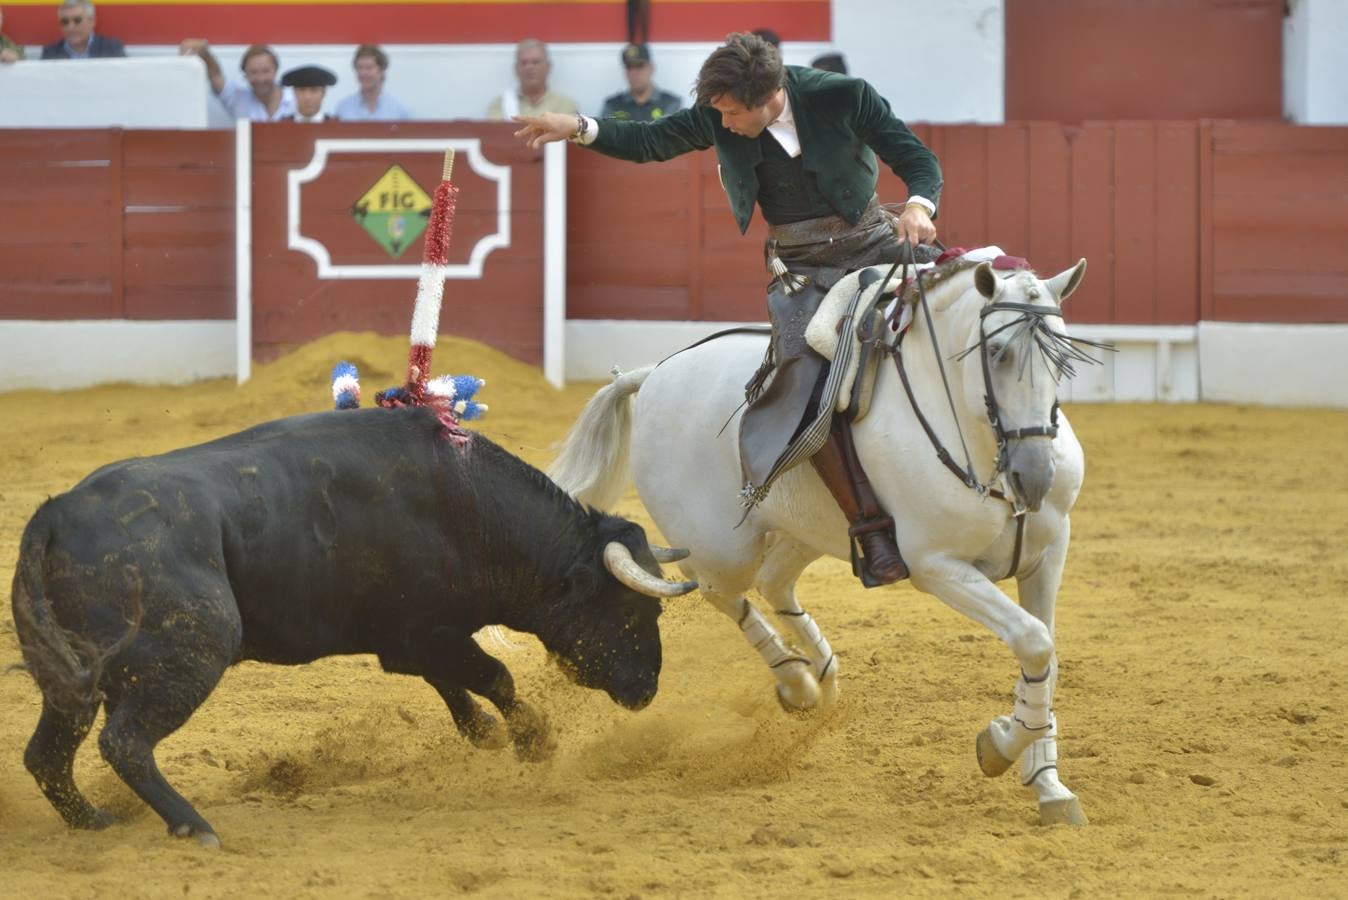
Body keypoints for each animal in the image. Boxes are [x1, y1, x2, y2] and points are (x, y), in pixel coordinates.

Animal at [7, 406, 684, 846]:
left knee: (47, 754)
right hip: (191, 652)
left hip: (72, 682)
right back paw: (194, 827)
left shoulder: (417, 639)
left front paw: (487, 735)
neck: (465, 505)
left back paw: (93, 823)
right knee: (124, 742)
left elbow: (458, 684)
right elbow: (495, 676)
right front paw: (533, 741)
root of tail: (55, 514)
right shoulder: (423, 635)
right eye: (633, 610)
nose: (647, 689)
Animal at [549, 254, 1094, 824]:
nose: (1035, 477)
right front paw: (1000, 746)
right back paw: (797, 680)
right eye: (995, 351)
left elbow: (1046, 653)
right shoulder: (936, 565)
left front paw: (1049, 784)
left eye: (1063, 354)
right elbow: (1033, 640)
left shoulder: (1049, 551)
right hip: (722, 546)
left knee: (773, 581)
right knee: (715, 588)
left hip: (806, 528)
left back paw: (822, 678)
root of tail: (654, 374)